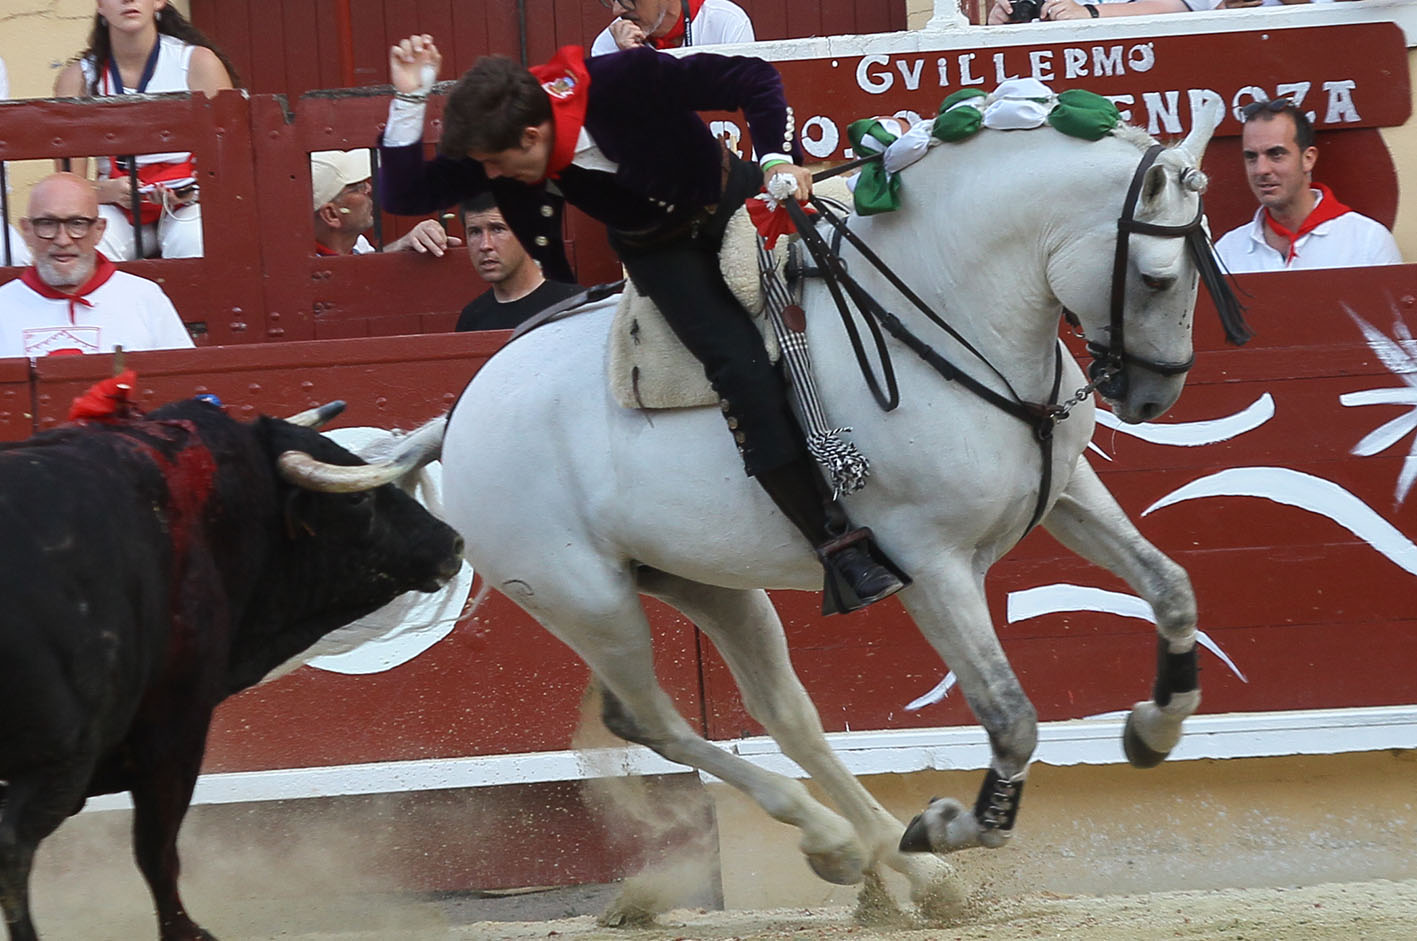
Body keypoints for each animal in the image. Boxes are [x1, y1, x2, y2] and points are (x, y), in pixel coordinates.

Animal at [0, 395, 464, 941]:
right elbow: (157, 849)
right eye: (358, 503)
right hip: (60, 758)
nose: (450, 542)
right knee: (14, 848)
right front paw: (187, 932)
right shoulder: (175, 727)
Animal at [318, 94, 1232, 914]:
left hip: (705, 584)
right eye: (1157, 276)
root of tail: (456, 416)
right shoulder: (931, 562)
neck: (945, 306)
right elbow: (1010, 716)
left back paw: (893, 862)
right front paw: (948, 823)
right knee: (650, 717)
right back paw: (844, 843)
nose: (1152, 394)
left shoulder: (1069, 491)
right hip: (587, 599)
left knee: (782, 712)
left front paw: (1153, 726)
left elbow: (1172, 586)